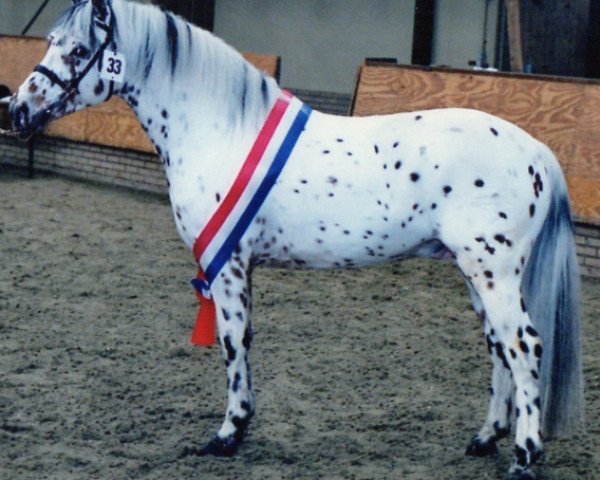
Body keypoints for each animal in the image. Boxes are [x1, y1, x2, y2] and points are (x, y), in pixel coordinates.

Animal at [9, 1, 584, 478]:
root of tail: (535, 149)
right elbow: (242, 338)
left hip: (494, 272)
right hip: (474, 272)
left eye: (78, 50)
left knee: (523, 346)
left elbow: (232, 340)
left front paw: (229, 433)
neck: (220, 129)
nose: (17, 109)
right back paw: (486, 439)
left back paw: (524, 456)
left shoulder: (227, 263)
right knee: (499, 348)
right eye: (51, 41)